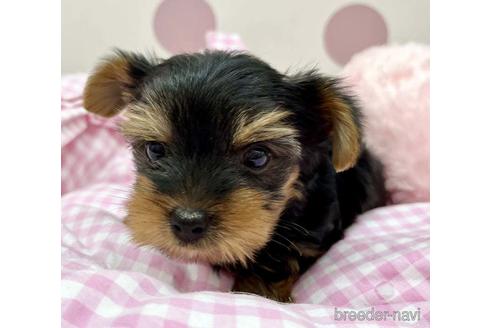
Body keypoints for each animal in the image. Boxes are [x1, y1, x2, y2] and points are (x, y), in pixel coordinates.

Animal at [82, 50, 386, 304]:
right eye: (155, 150)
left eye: (257, 157)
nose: (188, 222)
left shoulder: (310, 230)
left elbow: (278, 260)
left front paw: (255, 292)